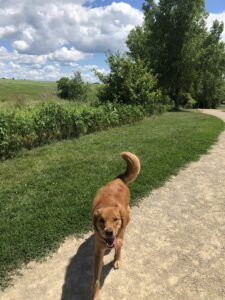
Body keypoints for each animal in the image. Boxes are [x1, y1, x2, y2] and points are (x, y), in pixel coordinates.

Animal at [91, 152, 140, 300]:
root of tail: (119, 179)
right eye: (101, 220)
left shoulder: (118, 237)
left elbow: (118, 250)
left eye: (115, 219)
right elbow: (96, 279)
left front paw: (117, 260)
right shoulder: (98, 247)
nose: (109, 232)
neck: (107, 204)